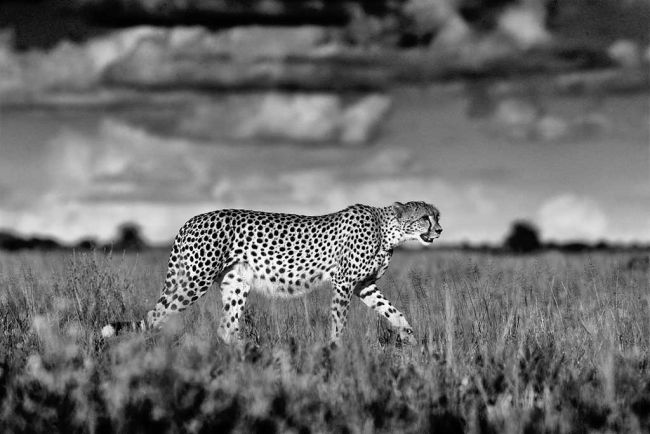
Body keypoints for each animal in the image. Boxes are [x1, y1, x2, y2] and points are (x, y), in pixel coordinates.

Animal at [101, 201, 442, 346]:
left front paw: (411, 339)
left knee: (225, 328)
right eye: (425, 218)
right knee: (155, 318)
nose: (439, 230)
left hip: (236, 284)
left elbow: (394, 312)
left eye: (437, 216)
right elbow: (338, 320)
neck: (388, 231)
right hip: (194, 281)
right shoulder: (344, 283)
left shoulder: (365, 286)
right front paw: (335, 348)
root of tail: (192, 219)